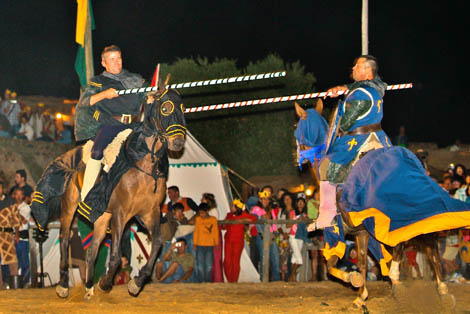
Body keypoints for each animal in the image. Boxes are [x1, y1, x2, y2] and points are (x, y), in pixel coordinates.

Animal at [32, 87, 185, 300]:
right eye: (165, 108)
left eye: (182, 108)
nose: (178, 142)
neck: (143, 166)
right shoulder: (121, 213)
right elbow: (115, 255)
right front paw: (105, 283)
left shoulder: (150, 213)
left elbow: (156, 244)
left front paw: (136, 283)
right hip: (69, 209)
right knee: (64, 240)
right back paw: (63, 285)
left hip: (102, 217)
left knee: (92, 251)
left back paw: (89, 287)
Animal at [296, 103, 460, 310]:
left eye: (297, 127)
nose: (297, 156)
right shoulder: (361, 232)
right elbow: (363, 261)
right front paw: (361, 296)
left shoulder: (336, 229)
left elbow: (332, 263)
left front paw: (354, 280)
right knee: (430, 247)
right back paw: (442, 292)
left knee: (406, 243)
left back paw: (398, 279)